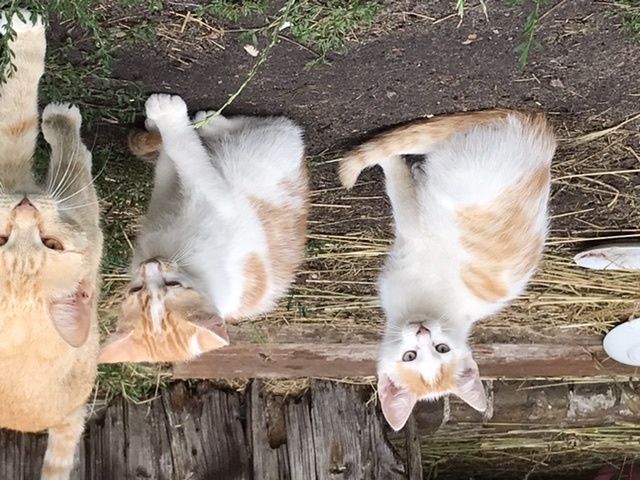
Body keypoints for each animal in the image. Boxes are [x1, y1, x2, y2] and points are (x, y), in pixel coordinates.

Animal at [99, 94, 308, 364]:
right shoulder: (188, 198)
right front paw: (165, 120)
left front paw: (164, 117)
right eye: (136, 289)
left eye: (173, 285)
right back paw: (210, 123)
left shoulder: (209, 198)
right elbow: (179, 162)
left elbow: (183, 156)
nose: (150, 265)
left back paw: (209, 123)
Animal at [340, 109, 556, 432]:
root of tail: (538, 134)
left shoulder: (413, 233)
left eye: (441, 349)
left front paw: (393, 165)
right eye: (410, 356)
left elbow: (400, 192)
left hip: (451, 184)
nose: (422, 331)